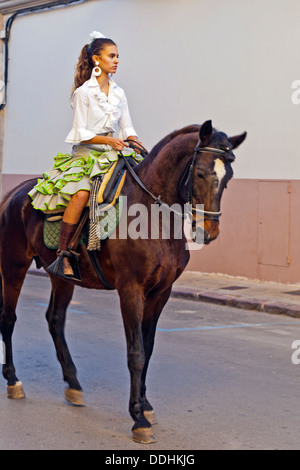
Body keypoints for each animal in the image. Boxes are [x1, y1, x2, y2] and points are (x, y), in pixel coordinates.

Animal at [0, 119, 245, 442]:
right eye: (201, 172)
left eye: (228, 177)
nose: (209, 231)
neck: (152, 215)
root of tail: (14, 193)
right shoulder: (131, 290)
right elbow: (136, 352)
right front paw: (138, 418)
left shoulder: (161, 293)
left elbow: (148, 348)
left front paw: (145, 405)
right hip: (13, 265)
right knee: (9, 319)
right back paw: (13, 380)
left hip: (62, 277)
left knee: (54, 319)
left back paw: (73, 384)